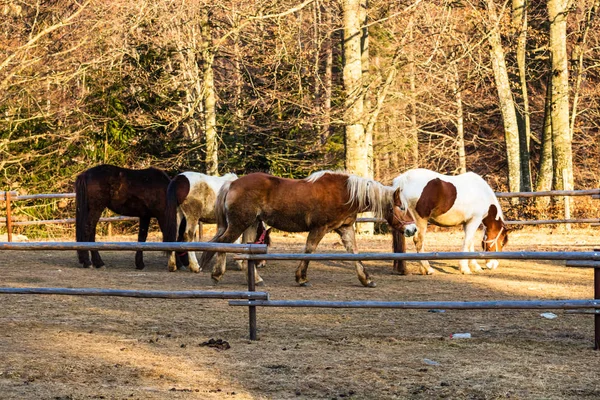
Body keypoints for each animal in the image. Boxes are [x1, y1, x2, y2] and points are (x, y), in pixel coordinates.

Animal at [197, 171, 418, 288]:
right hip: (238, 224)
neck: (345, 194)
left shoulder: (345, 229)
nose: (413, 229)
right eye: (402, 208)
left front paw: (366, 279)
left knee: (243, 250)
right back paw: (217, 274)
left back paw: (256, 279)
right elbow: (309, 250)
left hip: (251, 225)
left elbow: (355, 253)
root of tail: (232, 183)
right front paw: (301, 277)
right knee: (223, 244)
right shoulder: (319, 228)